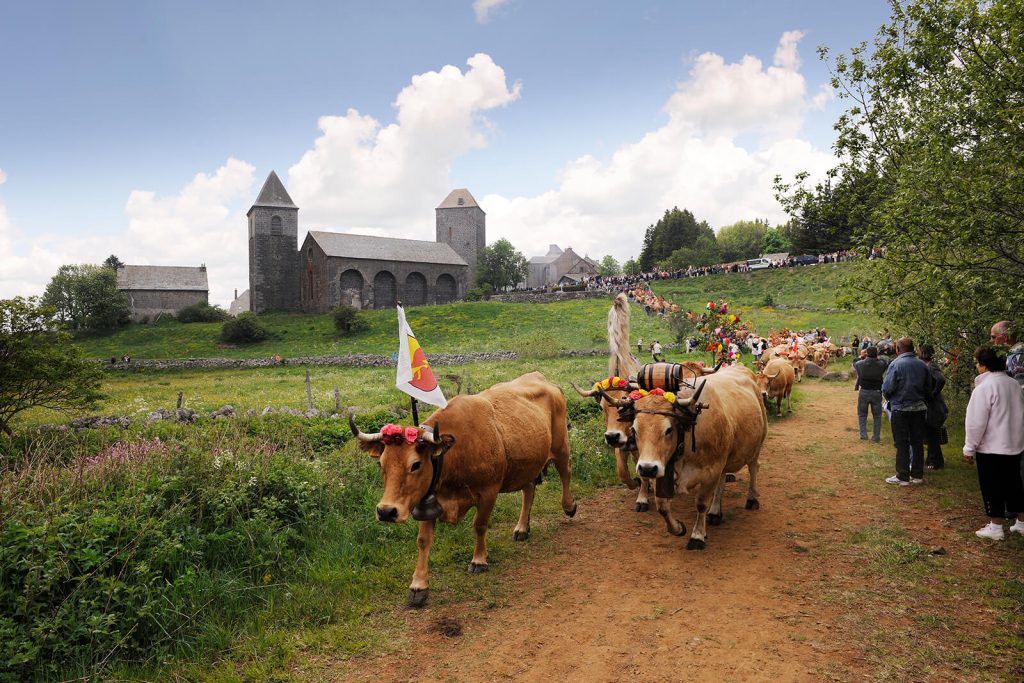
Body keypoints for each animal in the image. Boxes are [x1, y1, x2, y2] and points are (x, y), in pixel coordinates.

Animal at [352, 370, 577, 606]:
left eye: (415, 464)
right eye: (381, 464)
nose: (386, 511)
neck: (455, 453)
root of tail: (541, 378)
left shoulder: (488, 491)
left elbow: (479, 525)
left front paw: (479, 560)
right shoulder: (427, 499)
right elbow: (423, 540)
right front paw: (418, 585)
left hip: (561, 446)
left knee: (566, 472)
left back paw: (569, 506)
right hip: (528, 463)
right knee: (529, 490)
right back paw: (522, 528)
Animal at [602, 362, 765, 548]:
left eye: (669, 429)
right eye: (634, 429)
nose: (647, 469)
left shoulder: (711, 470)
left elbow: (701, 504)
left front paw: (697, 536)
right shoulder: (663, 468)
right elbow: (662, 505)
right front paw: (678, 527)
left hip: (756, 445)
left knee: (754, 468)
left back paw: (752, 499)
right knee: (722, 482)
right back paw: (715, 512)